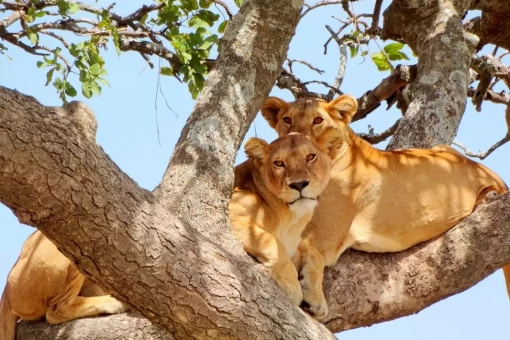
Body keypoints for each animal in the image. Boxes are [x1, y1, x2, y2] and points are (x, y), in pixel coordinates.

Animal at [230, 129, 342, 304]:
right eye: (279, 163)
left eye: (310, 157)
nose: (299, 184)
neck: (290, 220)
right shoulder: (230, 213)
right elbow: (272, 241)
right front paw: (291, 284)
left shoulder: (294, 241)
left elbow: (315, 253)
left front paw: (317, 299)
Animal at [260, 94, 508, 320]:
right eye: (287, 120)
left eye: (317, 120)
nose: (295, 138)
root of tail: (493, 174)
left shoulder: (324, 239)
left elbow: (310, 252)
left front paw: (315, 299)